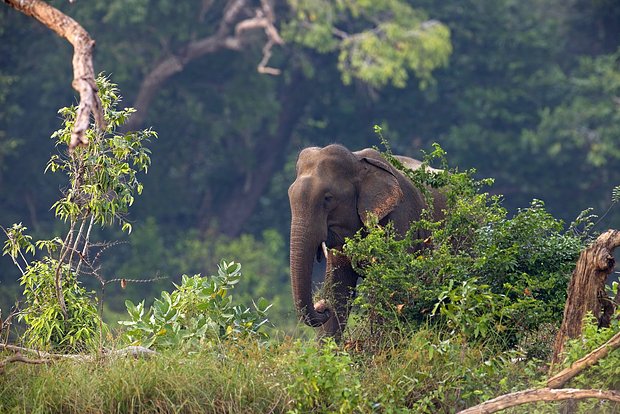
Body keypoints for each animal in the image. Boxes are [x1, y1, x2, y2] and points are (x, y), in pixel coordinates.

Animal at [288, 144, 444, 342]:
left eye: (328, 198)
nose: (321, 305)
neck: (358, 162)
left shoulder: (400, 220)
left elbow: (390, 286)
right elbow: (339, 288)